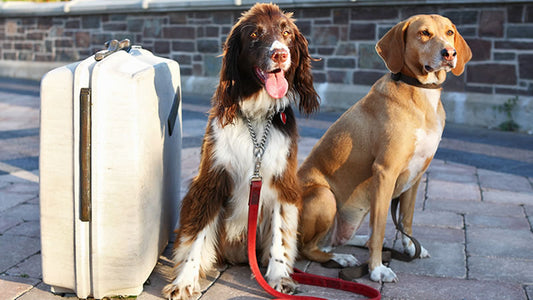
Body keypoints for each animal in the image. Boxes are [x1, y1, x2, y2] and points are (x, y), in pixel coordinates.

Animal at [162, 2, 318, 300]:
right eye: (255, 34)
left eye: (286, 33)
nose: (280, 54)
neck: (256, 115)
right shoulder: (211, 180)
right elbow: (196, 234)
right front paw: (185, 280)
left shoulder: (282, 182)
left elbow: (280, 235)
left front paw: (279, 276)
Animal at [298, 13, 472, 282]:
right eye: (424, 33)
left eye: (450, 32)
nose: (449, 53)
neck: (420, 93)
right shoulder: (385, 172)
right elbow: (380, 227)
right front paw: (376, 268)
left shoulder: (417, 174)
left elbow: (406, 219)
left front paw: (409, 248)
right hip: (323, 196)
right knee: (308, 249)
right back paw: (342, 258)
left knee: (332, 242)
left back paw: (358, 243)